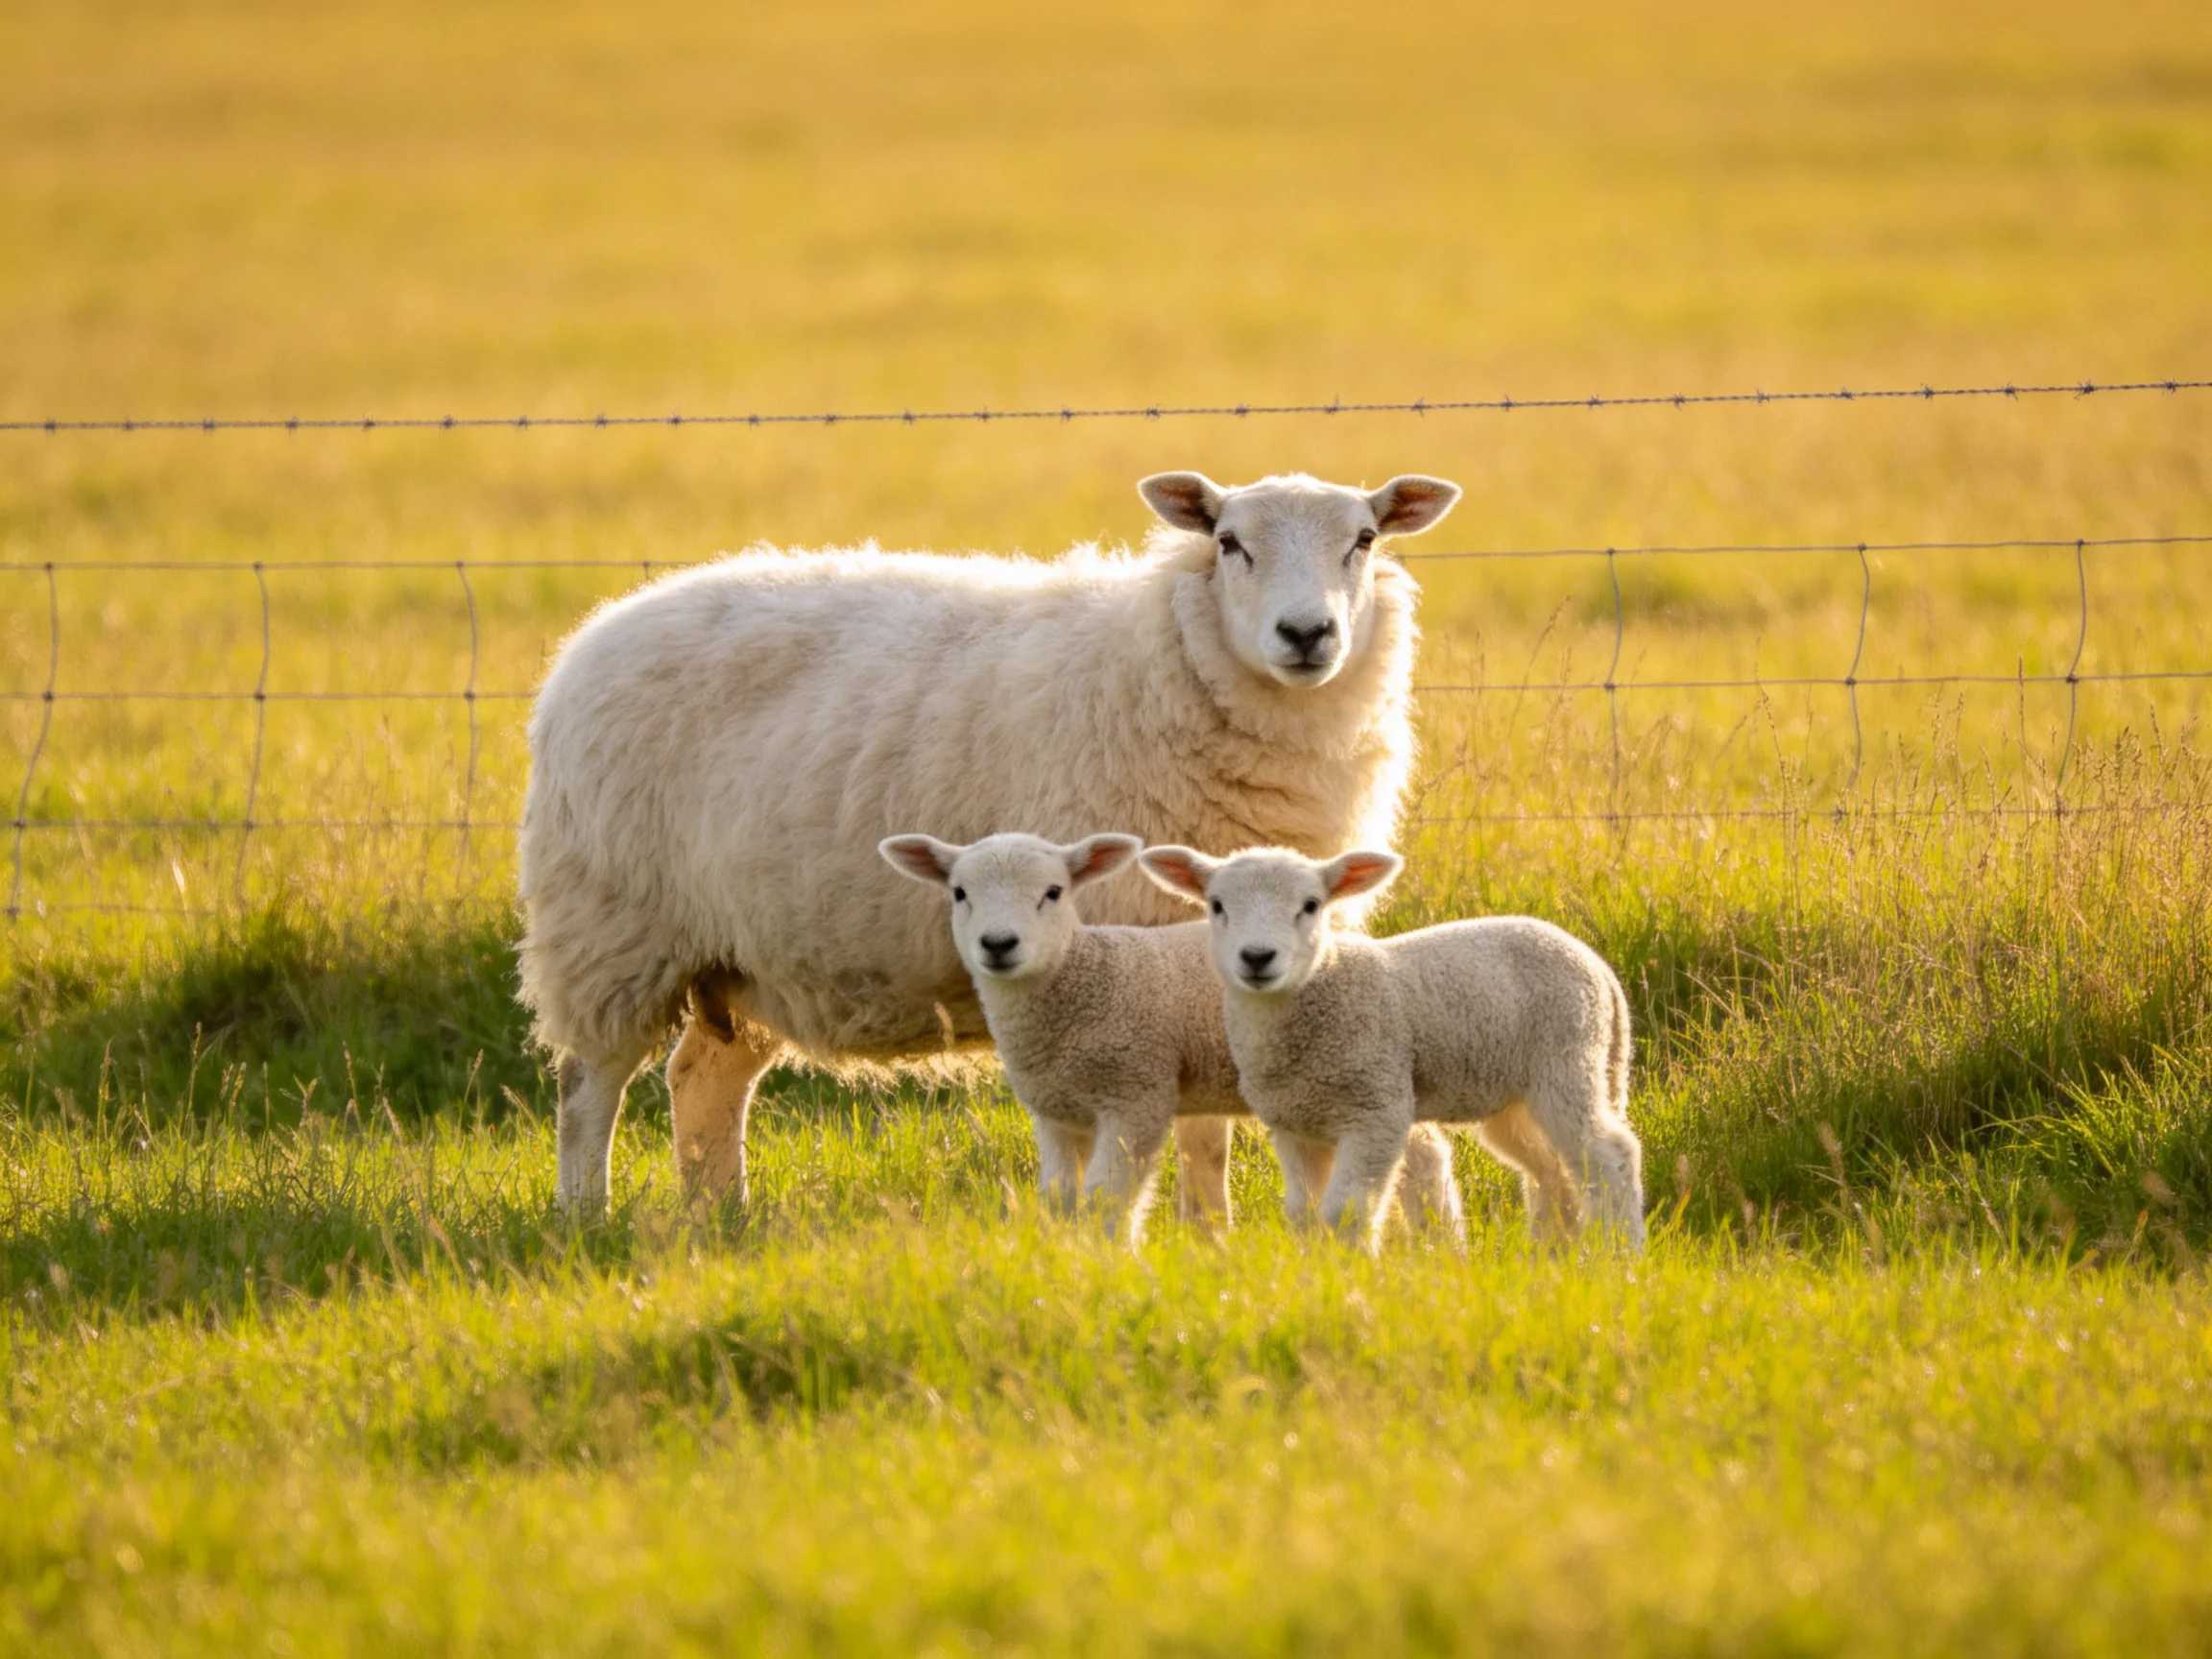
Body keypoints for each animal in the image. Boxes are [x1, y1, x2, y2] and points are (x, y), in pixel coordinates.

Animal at [877, 829, 1464, 1243]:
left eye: (1053, 892)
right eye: (959, 893)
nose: (999, 944)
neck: (1085, 977)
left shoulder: (1136, 1093)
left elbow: (1106, 1195)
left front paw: (1111, 1258)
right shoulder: (1057, 1111)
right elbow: (1060, 1197)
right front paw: (1068, 1253)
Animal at [1139, 845, 1644, 1254]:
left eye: (1311, 906)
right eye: (1217, 905)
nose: (1258, 957)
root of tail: (1598, 967)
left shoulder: (1376, 1111)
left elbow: (1345, 1211)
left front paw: (1354, 1272)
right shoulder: (1296, 1125)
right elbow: (1305, 1214)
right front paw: (1315, 1273)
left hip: (1567, 1060)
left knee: (1610, 1155)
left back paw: (1621, 1254)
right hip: (1516, 1095)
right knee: (1552, 1167)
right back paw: (1554, 1254)